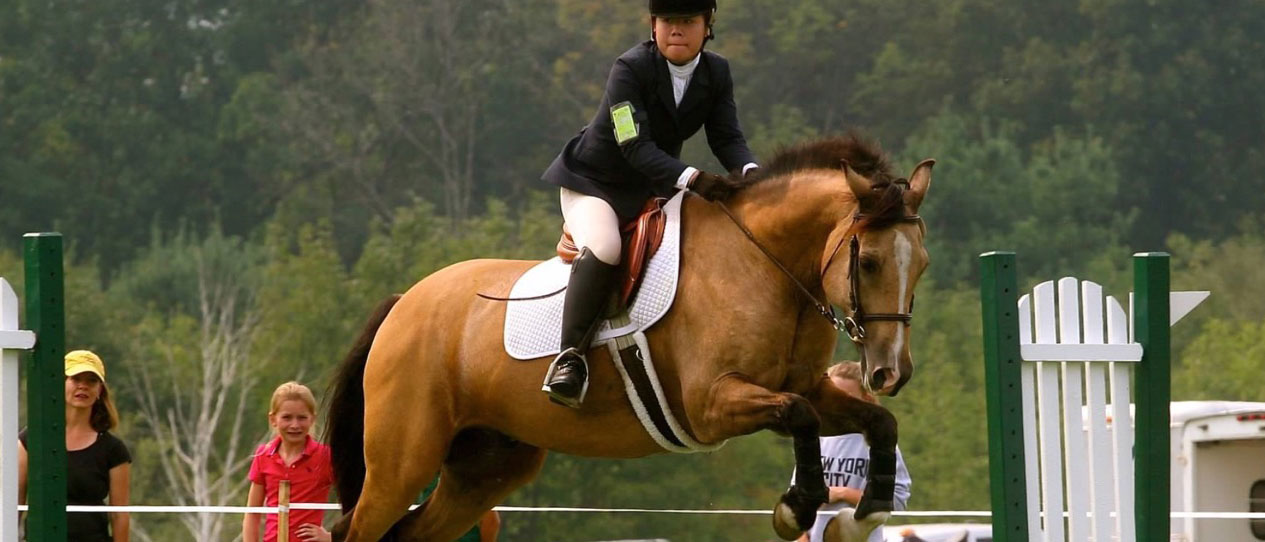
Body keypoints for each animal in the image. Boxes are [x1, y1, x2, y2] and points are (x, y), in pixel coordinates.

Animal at [323, 132, 941, 542]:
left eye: (922, 264)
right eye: (870, 263)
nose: (891, 372)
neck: (767, 265)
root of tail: (405, 302)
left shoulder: (810, 387)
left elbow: (876, 422)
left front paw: (866, 509)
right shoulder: (712, 404)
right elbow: (800, 416)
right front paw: (795, 508)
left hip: (485, 470)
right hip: (403, 463)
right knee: (360, 528)